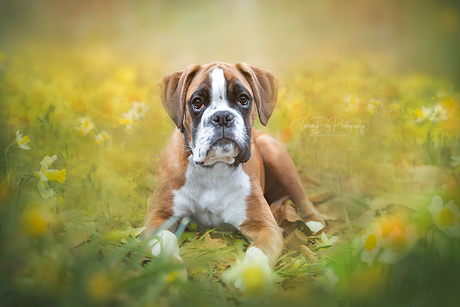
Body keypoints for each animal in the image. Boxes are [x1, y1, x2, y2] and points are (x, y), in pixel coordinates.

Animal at [143, 62, 324, 292]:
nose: (222, 117)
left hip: (276, 153)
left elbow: (257, 250)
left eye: (243, 99)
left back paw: (315, 223)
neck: (213, 169)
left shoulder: (265, 226)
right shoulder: (157, 218)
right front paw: (170, 273)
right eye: (197, 102)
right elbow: (165, 240)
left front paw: (252, 275)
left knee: (302, 197)